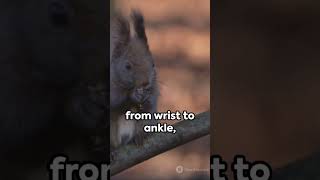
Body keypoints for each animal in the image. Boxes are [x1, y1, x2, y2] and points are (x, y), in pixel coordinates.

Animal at [110, 10, 159, 151]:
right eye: (128, 66)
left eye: (153, 64)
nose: (145, 82)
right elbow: (114, 106)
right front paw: (132, 96)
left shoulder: (155, 89)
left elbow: (150, 105)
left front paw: (145, 99)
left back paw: (139, 137)